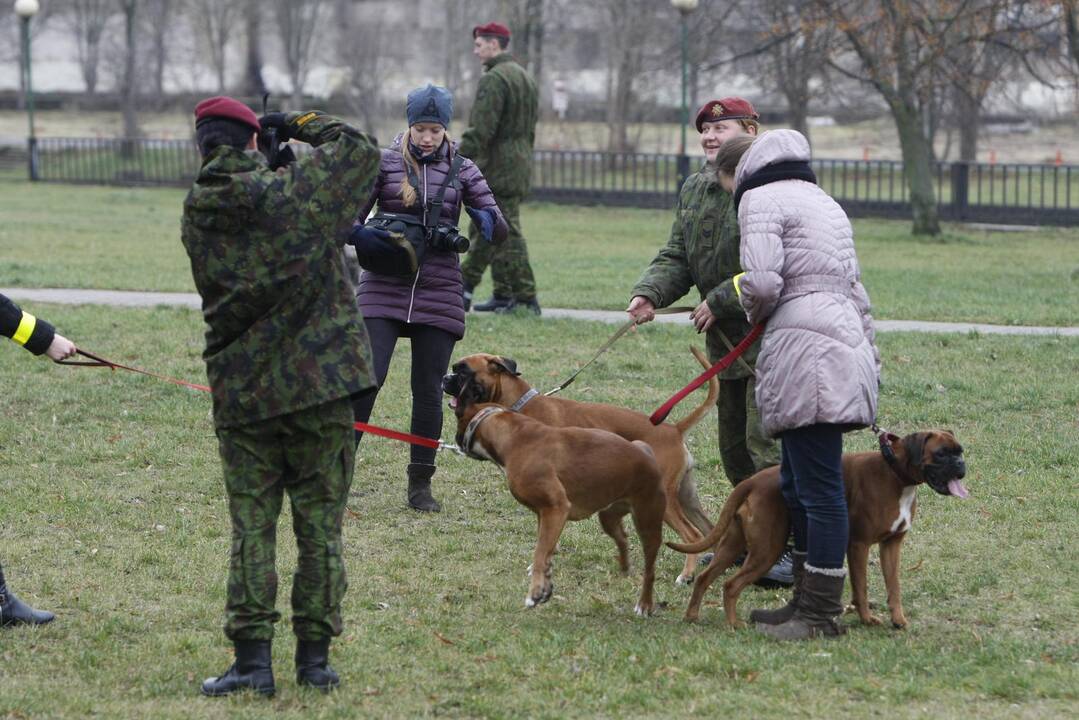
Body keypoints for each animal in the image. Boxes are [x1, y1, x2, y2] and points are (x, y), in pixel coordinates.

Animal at [440, 360, 664, 613]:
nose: (456, 441)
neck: (514, 436)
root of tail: (646, 451)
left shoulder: (556, 508)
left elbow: (540, 553)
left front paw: (535, 592)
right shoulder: (544, 514)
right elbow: (545, 549)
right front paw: (545, 583)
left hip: (648, 522)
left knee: (651, 568)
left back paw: (645, 604)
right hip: (609, 516)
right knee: (623, 538)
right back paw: (625, 568)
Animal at [442, 349, 720, 587]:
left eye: (463, 371)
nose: (445, 378)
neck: (519, 406)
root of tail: (674, 429)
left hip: (663, 501)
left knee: (692, 535)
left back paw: (686, 575)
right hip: (686, 498)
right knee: (710, 531)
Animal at [664, 431, 971, 626]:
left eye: (959, 451)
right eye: (941, 454)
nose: (961, 464)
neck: (895, 473)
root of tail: (751, 481)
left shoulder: (891, 546)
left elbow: (894, 587)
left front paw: (899, 620)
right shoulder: (858, 545)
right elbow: (861, 587)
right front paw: (866, 619)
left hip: (733, 545)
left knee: (706, 578)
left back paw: (692, 616)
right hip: (766, 549)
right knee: (731, 585)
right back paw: (733, 624)